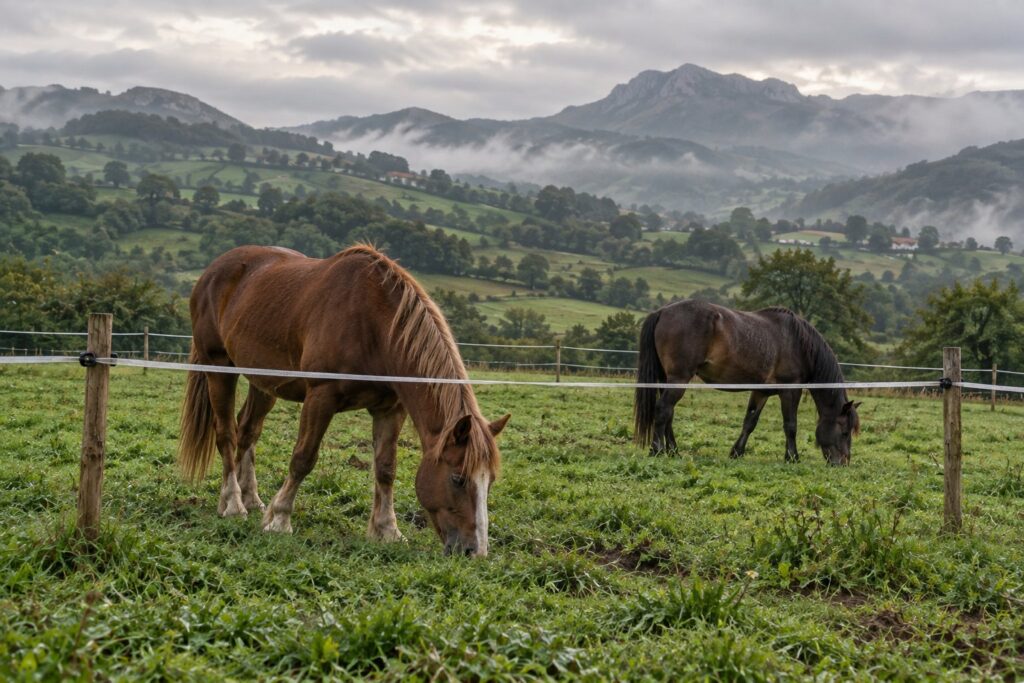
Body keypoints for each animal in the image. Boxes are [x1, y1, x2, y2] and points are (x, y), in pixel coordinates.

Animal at [178, 244, 510, 556]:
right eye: (458, 478)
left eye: (490, 481)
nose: (475, 551)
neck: (374, 324)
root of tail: (213, 271)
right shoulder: (320, 397)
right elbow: (303, 459)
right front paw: (280, 520)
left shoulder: (390, 409)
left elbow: (386, 469)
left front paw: (387, 530)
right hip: (219, 369)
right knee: (227, 434)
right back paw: (233, 504)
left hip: (263, 383)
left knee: (248, 432)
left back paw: (252, 499)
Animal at [633, 300, 860, 465]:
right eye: (845, 432)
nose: (843, 463)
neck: (798, 342)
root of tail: (662, 311)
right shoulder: (790, 391)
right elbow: (790, 425)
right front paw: (792, 457)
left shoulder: (761, 392)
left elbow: (750, 422)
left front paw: (737, 452)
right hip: (679, 379)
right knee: (663, 409)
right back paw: (656, 450)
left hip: (667, 380)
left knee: (668, 413)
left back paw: (673, 451)